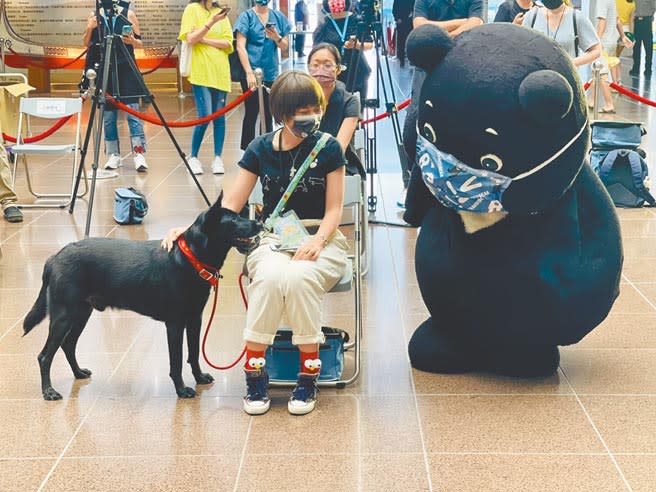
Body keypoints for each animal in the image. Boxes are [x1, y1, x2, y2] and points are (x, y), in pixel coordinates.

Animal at [23, 194, 264, 402]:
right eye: (234, 219)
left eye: (242, 214)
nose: (259, 223)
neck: (189, 257)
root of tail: (54, 257)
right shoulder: (175, 324)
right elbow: (176, 361)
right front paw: (181, 390)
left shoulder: (195, 319)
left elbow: (194, 353)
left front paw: (199, 378)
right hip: (63, 316)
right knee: (45, 356)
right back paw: (48, 391)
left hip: (82, 313)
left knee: (68, 345)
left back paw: (78, 373)